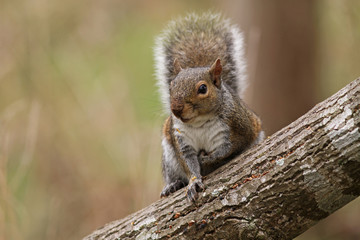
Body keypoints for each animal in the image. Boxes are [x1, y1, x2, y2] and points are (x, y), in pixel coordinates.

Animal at [155, 12, 264, 202]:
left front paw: (208, 159)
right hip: (169, 157)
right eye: (171, 86)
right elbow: (188, 163)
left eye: (203, 89)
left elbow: (229, 148)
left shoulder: (240, 127)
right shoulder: (181, 140)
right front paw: (193, 181)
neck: (199, 122)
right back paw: (173, 185)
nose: (175, 109)